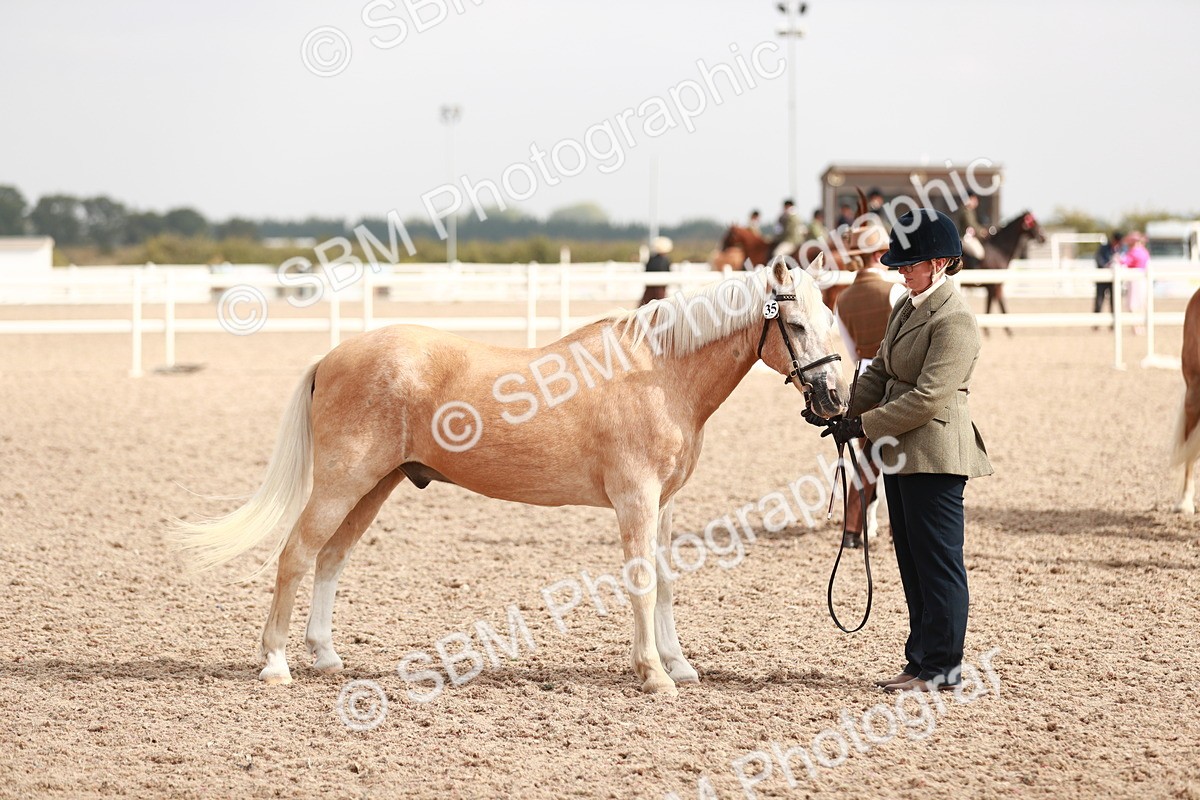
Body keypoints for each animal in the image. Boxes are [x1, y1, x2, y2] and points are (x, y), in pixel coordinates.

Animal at [173, 260, 849, 696]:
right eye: (796, 326)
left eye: (829, 317)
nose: (835, 398)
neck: (657, 371)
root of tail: (332, 356)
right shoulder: (635, 500)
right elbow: (640, 582)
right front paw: (654, 675)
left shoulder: (664, 504)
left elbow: (665, 581)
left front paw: (678, 665)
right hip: (344, 481)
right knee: (296, 553)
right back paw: (276, 664)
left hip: (374, 486)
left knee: (330, 559)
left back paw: (326, 655)